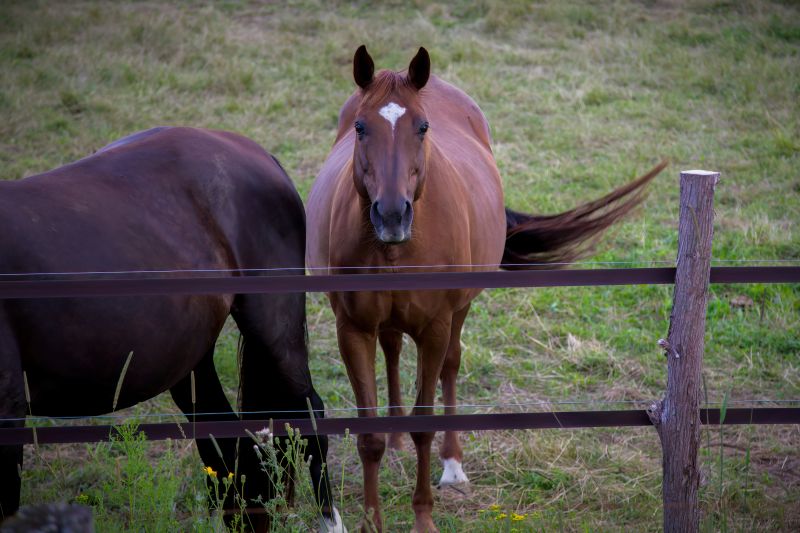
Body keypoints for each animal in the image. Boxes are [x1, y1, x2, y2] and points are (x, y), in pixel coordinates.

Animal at [305, 46, 665, 532]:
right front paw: (372, 522)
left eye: (422, 127)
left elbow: (425, 422)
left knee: (450, 365)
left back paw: (453, 466)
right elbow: (369, 437)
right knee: (394, 349)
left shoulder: (436, 327)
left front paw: (424, 518)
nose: (392, 215)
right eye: (360, 127)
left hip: (458, 311)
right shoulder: (352, 329)